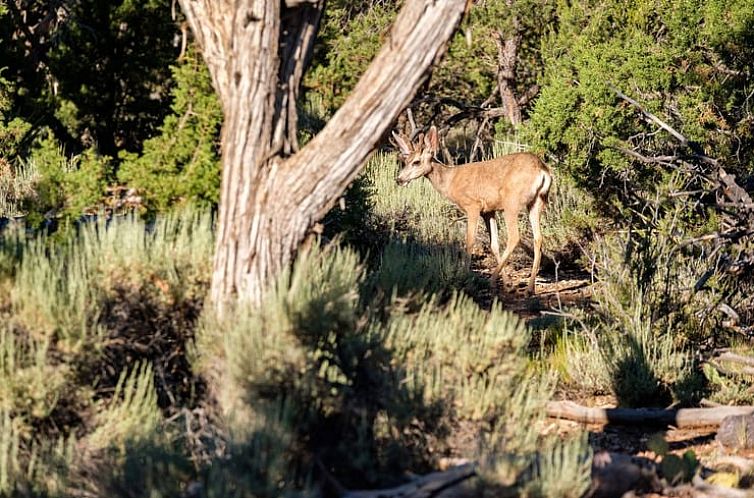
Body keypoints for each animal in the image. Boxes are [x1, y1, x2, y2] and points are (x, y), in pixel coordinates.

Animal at [394, 126, 552, 294]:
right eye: (405, 161)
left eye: (416, 162)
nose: (399, 179)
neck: (450, 181)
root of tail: (543, 171)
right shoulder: (488, 211)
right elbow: (494, 245)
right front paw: (508, 284)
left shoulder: (473, 205)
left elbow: (470, 241)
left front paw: (464, 277)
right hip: (537, 201)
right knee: (538, 238)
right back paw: (529, 287)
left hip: (511, 202)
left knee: (515, 237)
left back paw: (490, 280)